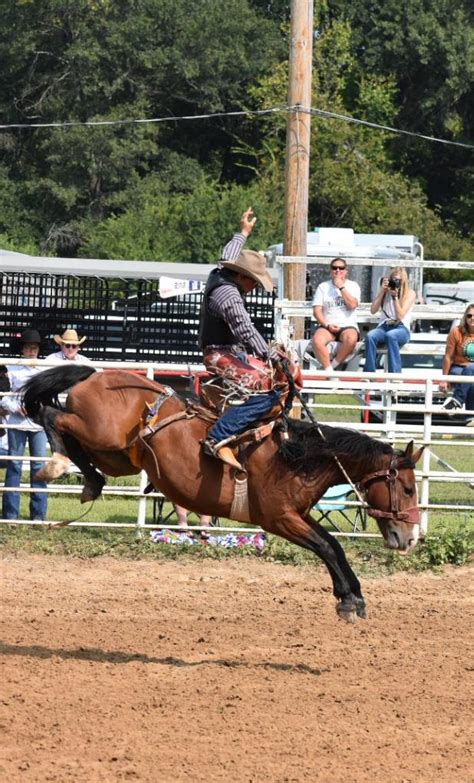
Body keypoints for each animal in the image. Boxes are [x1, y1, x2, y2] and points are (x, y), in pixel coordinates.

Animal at [22, 368, 424, 624]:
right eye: (407, 488)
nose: (409, 537)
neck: (298, 455)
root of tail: (96, 375)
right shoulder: (279, 519)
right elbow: (326, 547)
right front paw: (348, 601)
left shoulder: (300, 515)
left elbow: (334, 545)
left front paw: (353, 597)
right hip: (99, 432)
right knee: (52, 415)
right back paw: (54, 465)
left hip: (117, 455)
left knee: (75, 441)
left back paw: (89, 479)